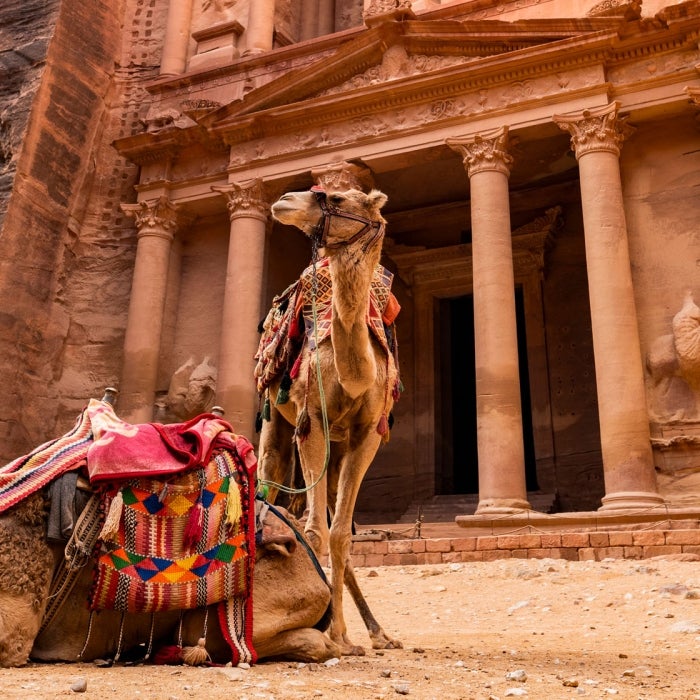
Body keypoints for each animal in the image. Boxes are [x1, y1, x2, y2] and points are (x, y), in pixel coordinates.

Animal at [257, 187, 401, 656]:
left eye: (336, 197)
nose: (284, 200)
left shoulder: (367, 435)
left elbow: (341, 534)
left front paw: (343, 634)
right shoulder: (312, 422)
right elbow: (316, 531)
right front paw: (332, 635)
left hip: (337, 452)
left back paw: (376, 632)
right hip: (275, 421)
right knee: (269, 487)